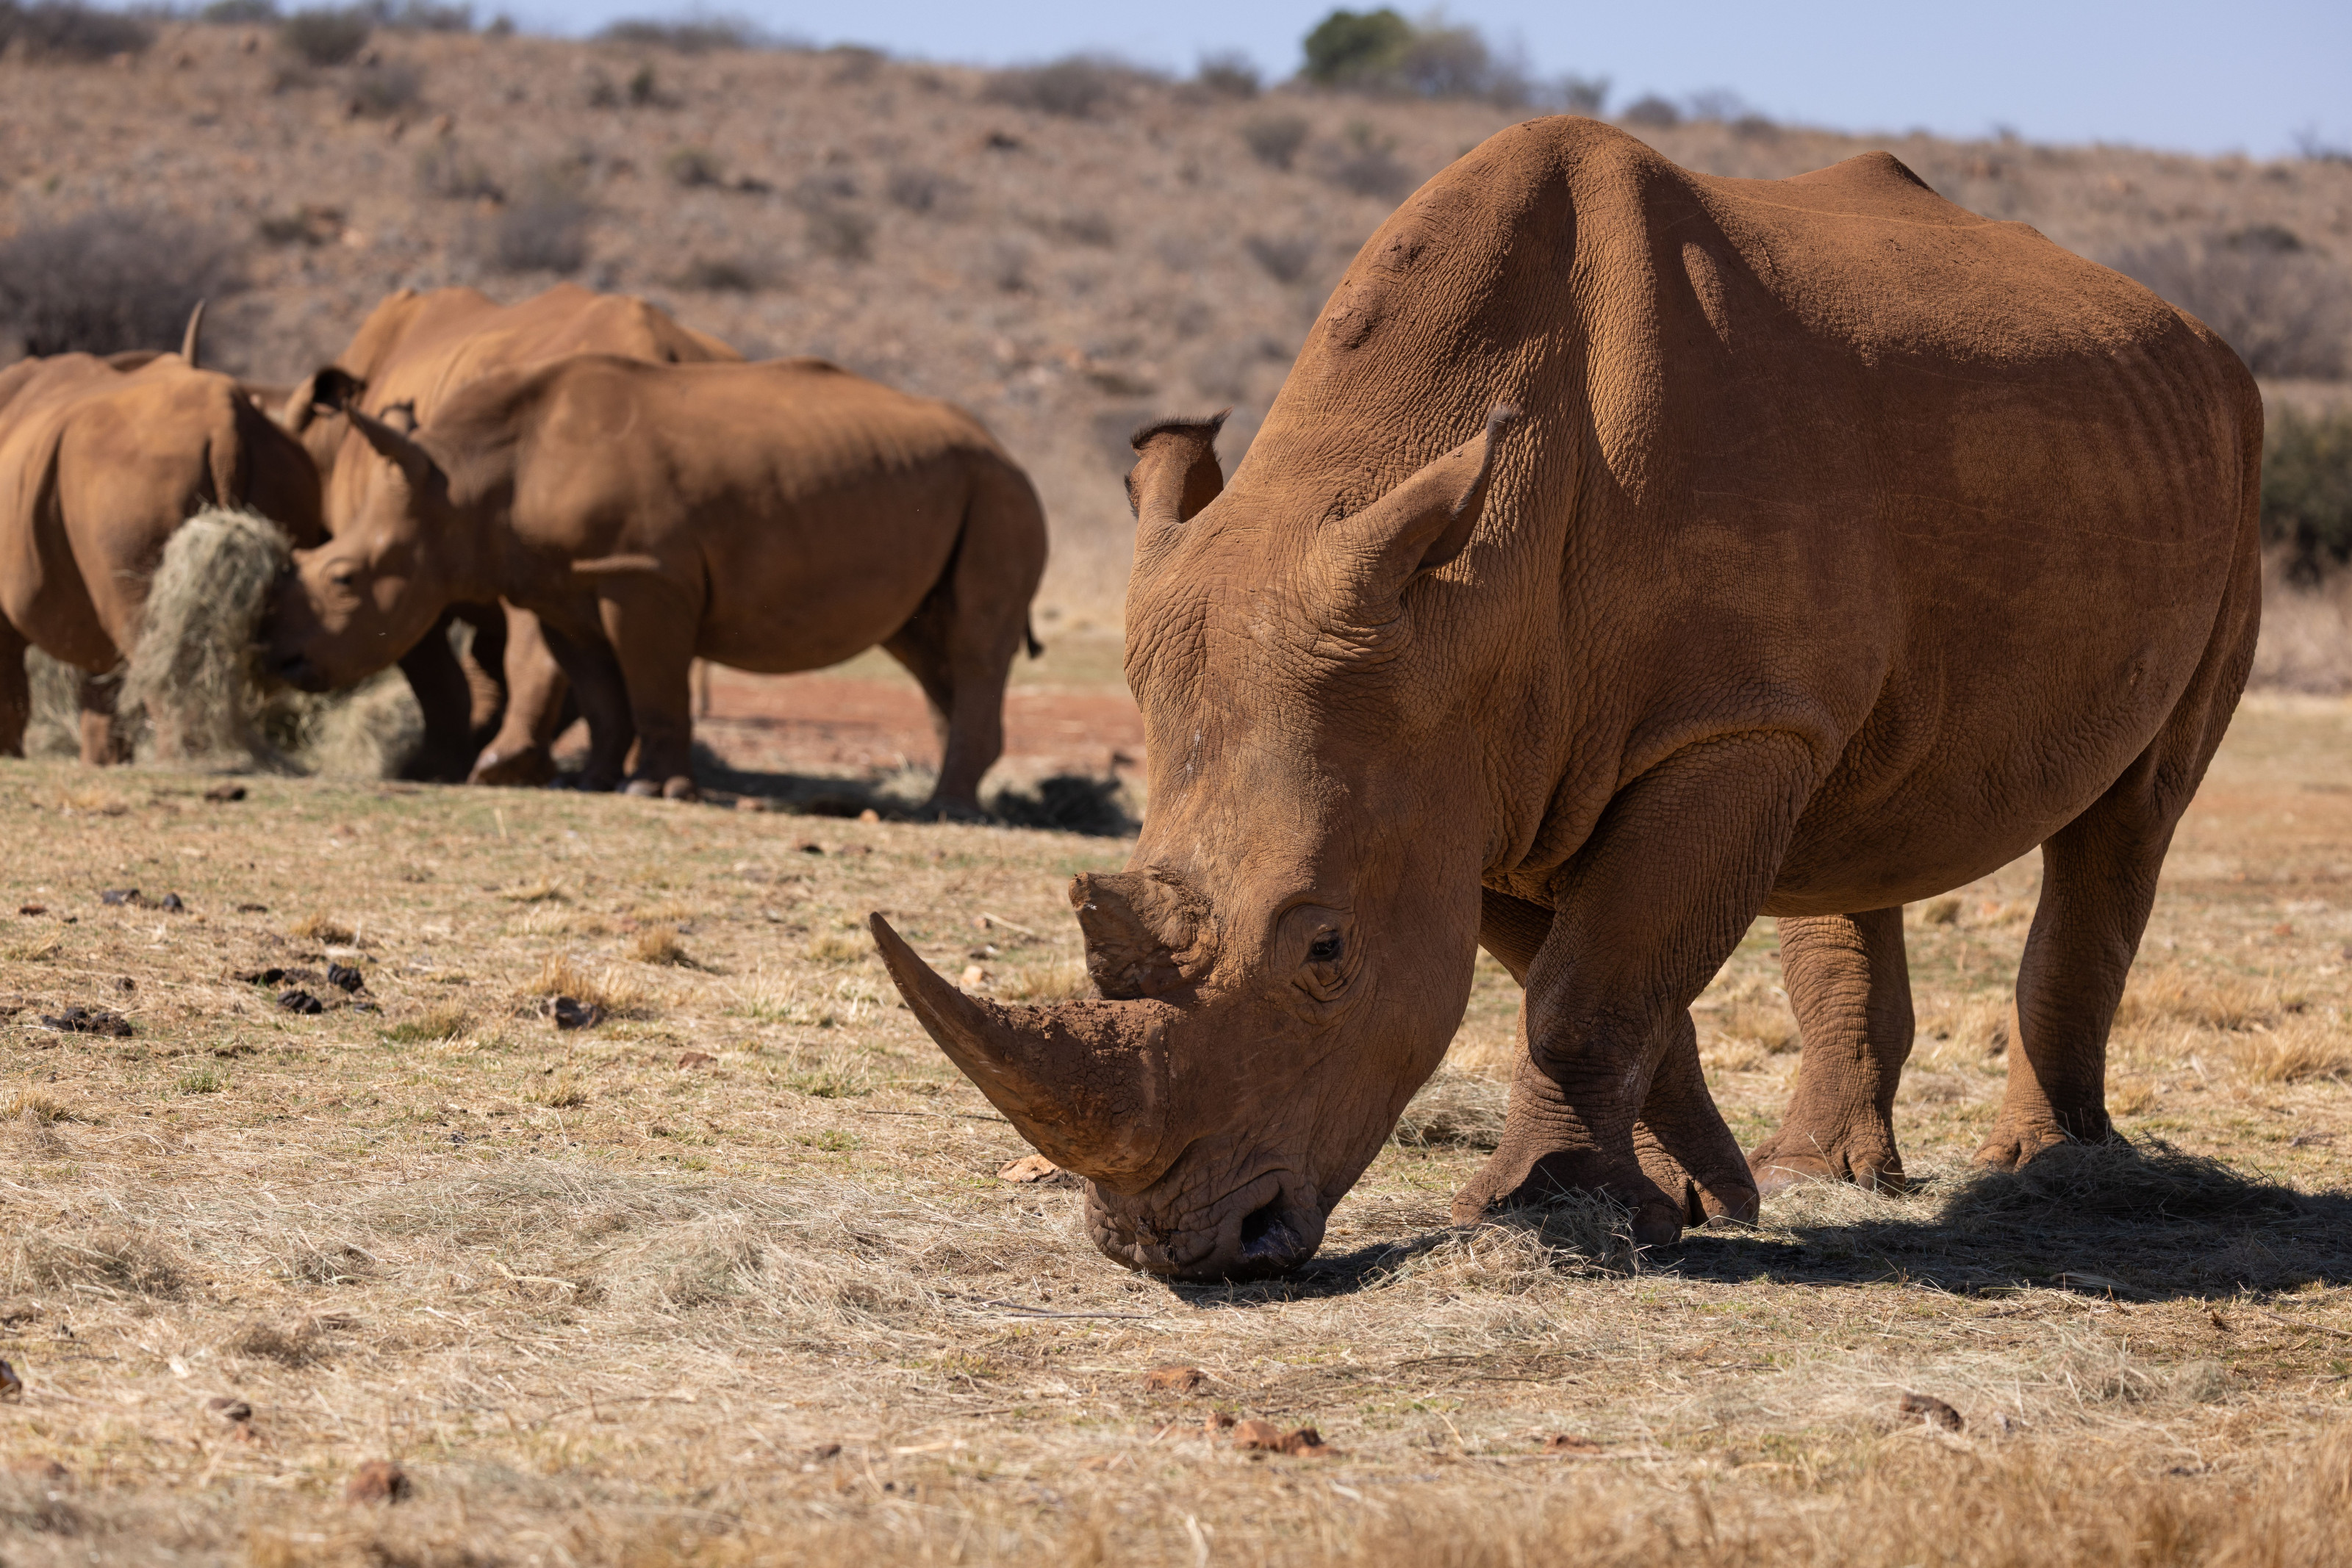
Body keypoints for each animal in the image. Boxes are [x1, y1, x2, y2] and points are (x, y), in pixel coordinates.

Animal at [0, 314, 323, 763]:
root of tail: (228, 427)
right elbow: (99, 682)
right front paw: (104, 763)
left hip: (130, 480)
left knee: (145, 629)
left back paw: (183, 760)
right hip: (288, 470)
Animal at [262, 354, 1047, 810]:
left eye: (344, 578)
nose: (281, 660)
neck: (466, 485)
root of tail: (1010, 452)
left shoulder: (642, 575)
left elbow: (652, 684)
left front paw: (652, 787)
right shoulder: (565, 586)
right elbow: (600, 690)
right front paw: (593, 782)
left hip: (1001, 494)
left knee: (974, 644)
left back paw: (944, 810)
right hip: (958, 486)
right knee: (926, 646)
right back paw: (955, 797)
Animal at [869, 117, 2261, 1280]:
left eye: (1326, 951)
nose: (1173, 1246)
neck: (1466, 598)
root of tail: (2196, 332)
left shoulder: (1713, 724)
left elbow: (1589, 987)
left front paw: (1543, 1215)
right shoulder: (1469, 764)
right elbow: (1589, 974)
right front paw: (1699, 1199)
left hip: (2229, 459)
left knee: (2131, 815)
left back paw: (2045, 1170)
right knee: (1854, 805)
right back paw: (1825, 1171)